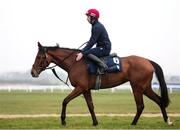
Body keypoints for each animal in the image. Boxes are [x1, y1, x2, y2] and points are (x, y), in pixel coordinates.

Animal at [31, 42, 173, 126]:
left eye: (39, 57)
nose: (33, 72)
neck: (75, 63)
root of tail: (148, 61)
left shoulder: (80, 87)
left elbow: (65, 101)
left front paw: (63, 120)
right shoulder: (85, 89)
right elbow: (90, 106)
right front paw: (95, 122)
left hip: (137, 87)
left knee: (140, 106)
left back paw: (133, 123)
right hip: (145, 87)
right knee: (159, 100)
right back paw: (167, 121)